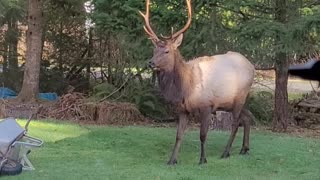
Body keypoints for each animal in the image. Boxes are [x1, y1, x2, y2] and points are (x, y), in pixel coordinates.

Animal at [139, 0, 255, 165]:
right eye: (154, 50)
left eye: (167, 51)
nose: (151, 63)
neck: (185, 88)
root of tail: (252, 66)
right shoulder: (182, 109)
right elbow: (179, 135)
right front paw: (172, 160)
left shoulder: (207, 105)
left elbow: (203, 135)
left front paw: (202, 159)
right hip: (231, 102)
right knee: (247, 116)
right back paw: (244, 149)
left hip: (240, 96)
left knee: (235, 123)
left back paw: (226, 152)